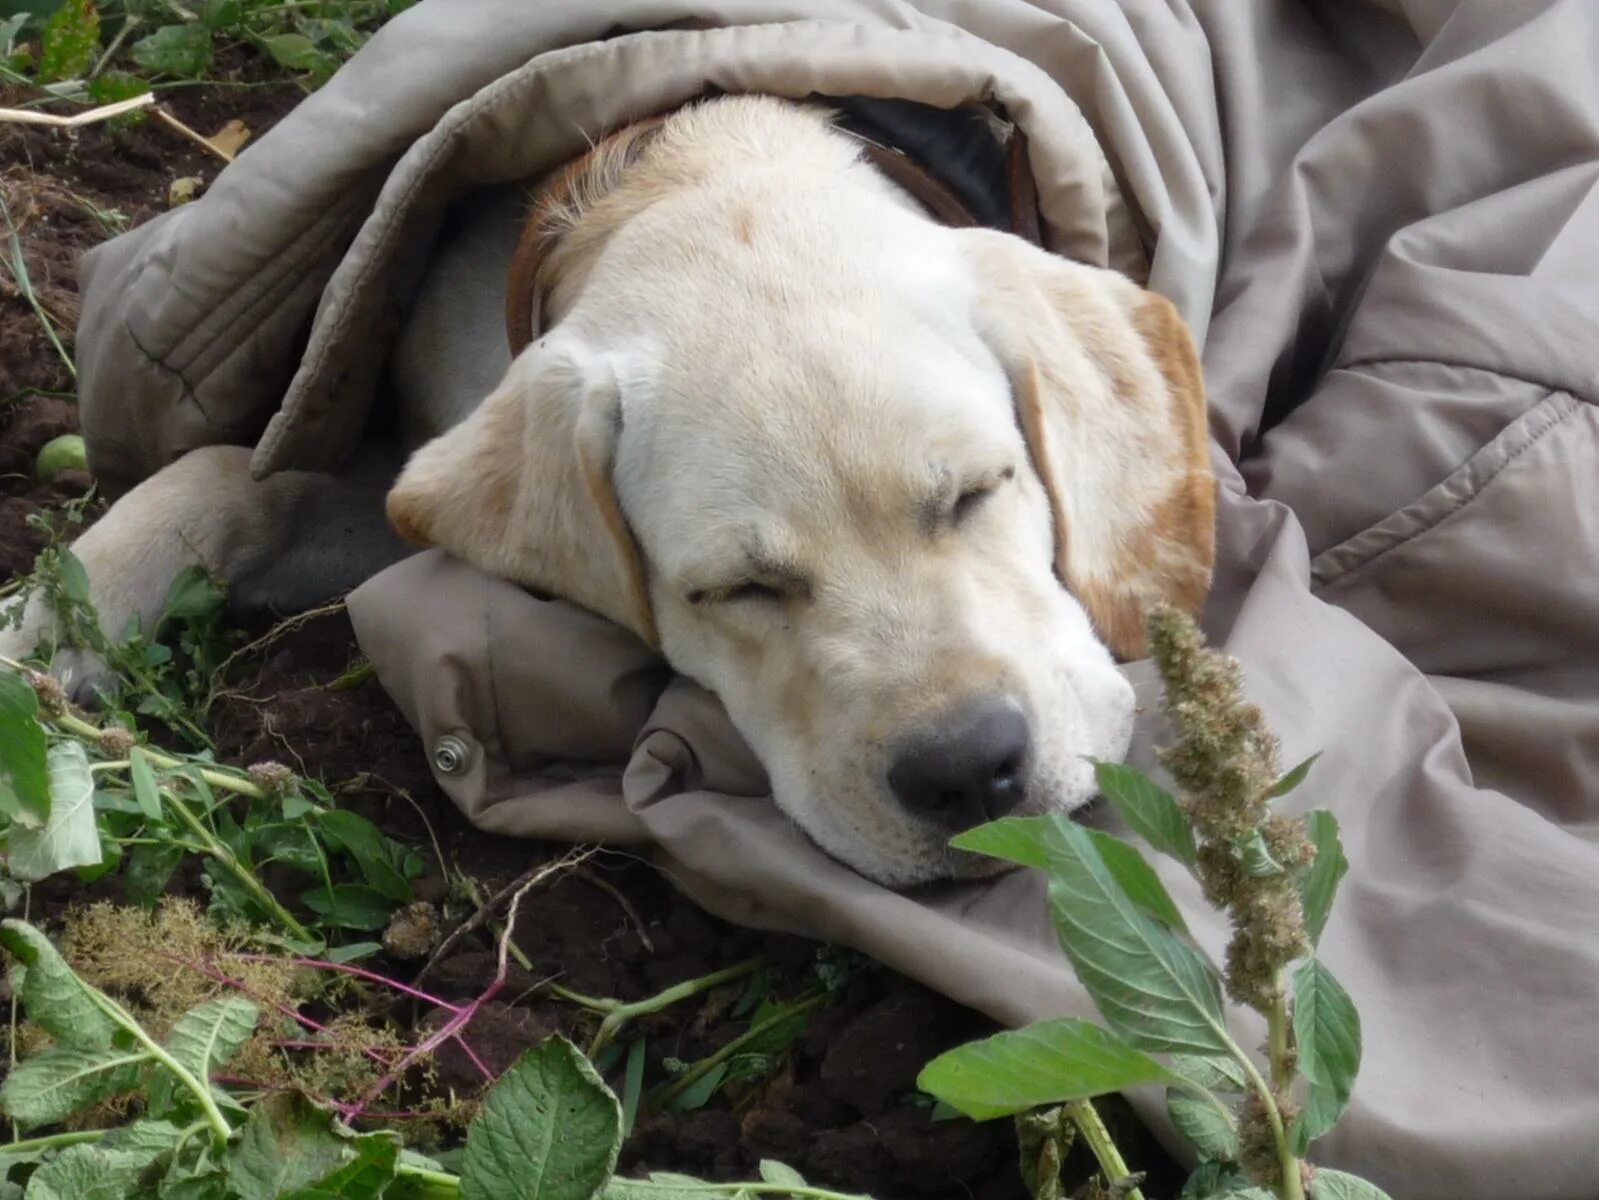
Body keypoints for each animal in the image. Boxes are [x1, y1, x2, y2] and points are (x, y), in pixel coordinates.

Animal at [3, 98, 1208, 889]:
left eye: (980, 489)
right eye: (733, 590)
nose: (968, 774)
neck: (685, 163)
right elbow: (222, 472)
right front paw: (59, 616)